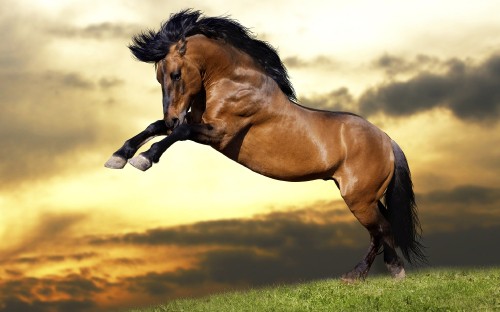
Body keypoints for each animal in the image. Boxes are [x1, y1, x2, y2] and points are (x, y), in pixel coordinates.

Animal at [105, 10, 426, 282]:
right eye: (158, 76)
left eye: (175, 74)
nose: (172, 115)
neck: (233, 82)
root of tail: (387, 139)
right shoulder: (196, 125)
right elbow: (155, 127)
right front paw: (118, 157)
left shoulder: (218, 133)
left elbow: (177, 133)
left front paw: (144, 158)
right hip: (366, 196)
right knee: (382, 229)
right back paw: (369, 274)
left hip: (359, 198)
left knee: (381, 230)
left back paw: (377, 273)